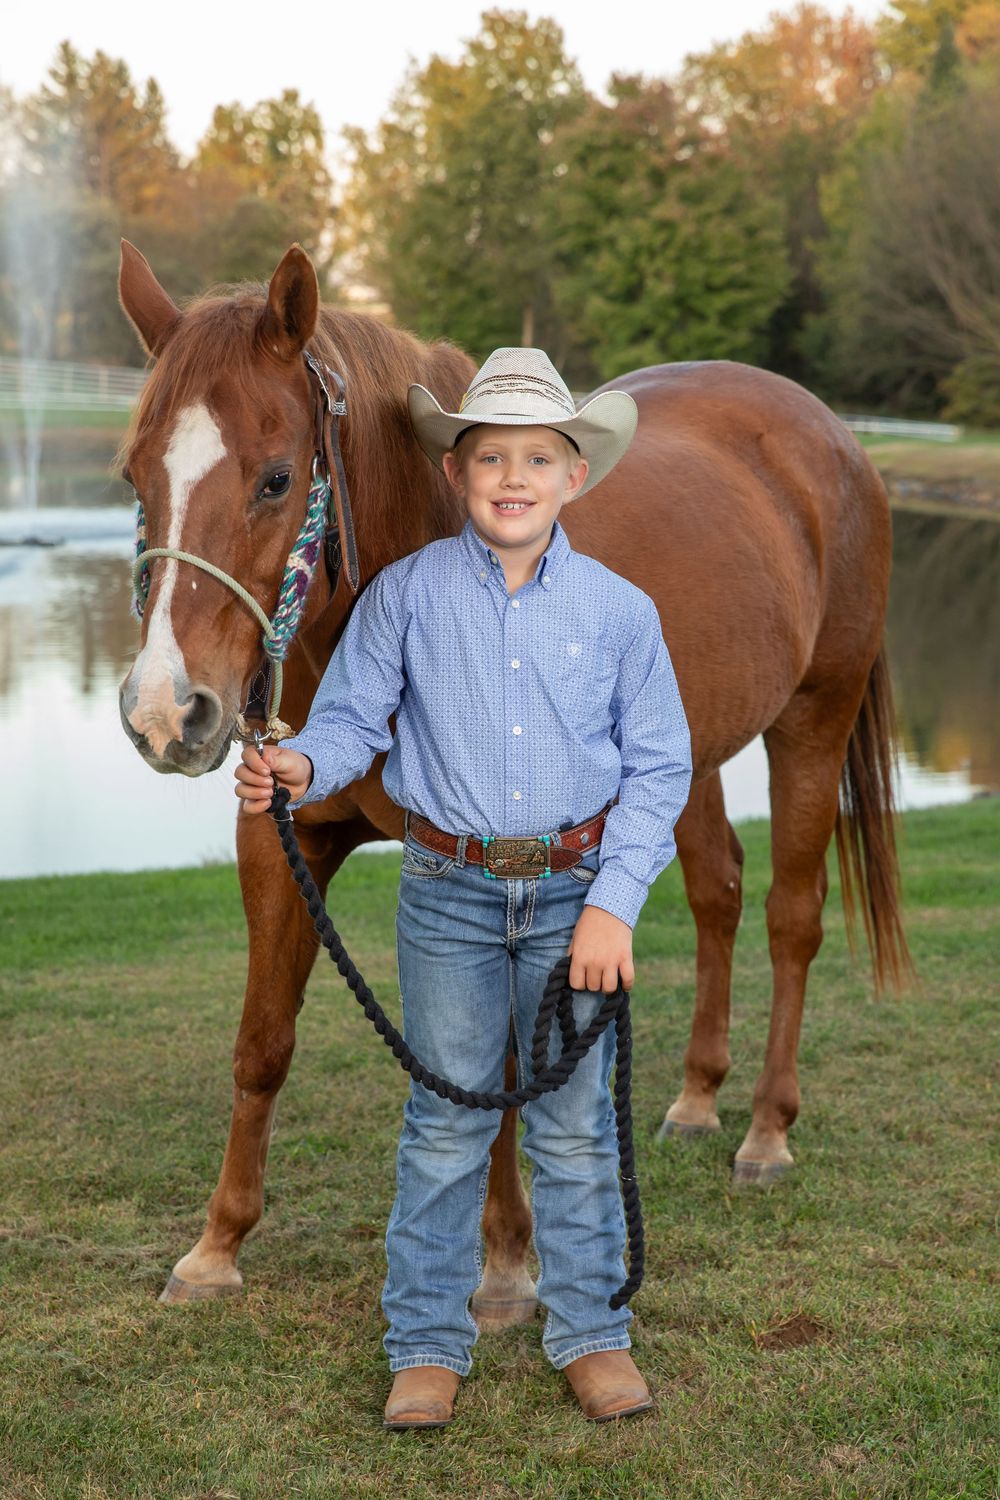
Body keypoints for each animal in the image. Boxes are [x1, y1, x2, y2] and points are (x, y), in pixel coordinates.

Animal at [116, 238, 914, 1316]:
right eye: (135, 474)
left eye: (277, 479)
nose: (168, 713)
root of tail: (830, 434)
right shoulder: (284, 839)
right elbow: (262, 1042)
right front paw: (217, 1245)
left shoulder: (496, 860)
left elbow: (489, 1066)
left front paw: (501, 1262)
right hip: (686, 754)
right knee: (718, 891)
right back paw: (697, 1099)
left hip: (812, 721)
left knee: (793, 915)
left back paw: (763, 1131)